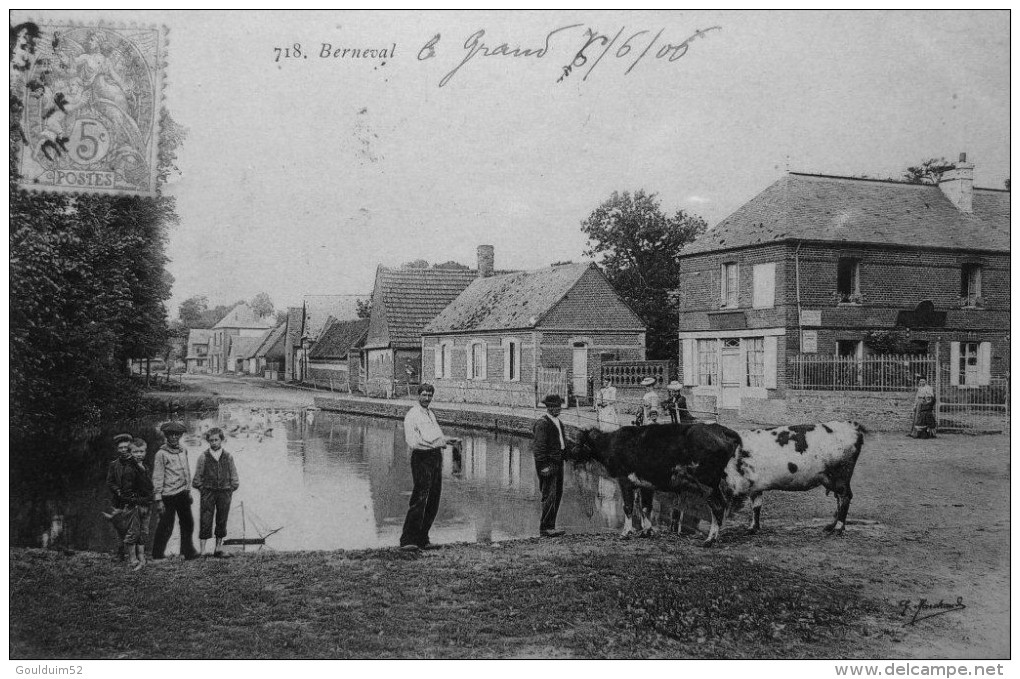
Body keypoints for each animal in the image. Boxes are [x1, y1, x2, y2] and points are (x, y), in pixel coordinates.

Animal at [575, 424, 742, 546]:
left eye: (579, 442)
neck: (611, 443)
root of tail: (720, 429)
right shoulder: (646, 485)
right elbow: (645, 507)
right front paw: (646, 532)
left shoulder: (624, 480)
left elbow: (628, 507)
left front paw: (625, 533)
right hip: (714, 484)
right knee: (721, 505)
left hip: (706, 483)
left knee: (717, 507)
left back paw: (710, 540)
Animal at [718, 418, 869, 534]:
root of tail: (851, 424)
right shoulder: (755, 485)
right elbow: (756, 506)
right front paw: (753, 528)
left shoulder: (737, 484)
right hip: (832, 479)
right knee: (839, 499)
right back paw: (829, 526)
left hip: (841, 474)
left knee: (845, 497)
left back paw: (837, 529)